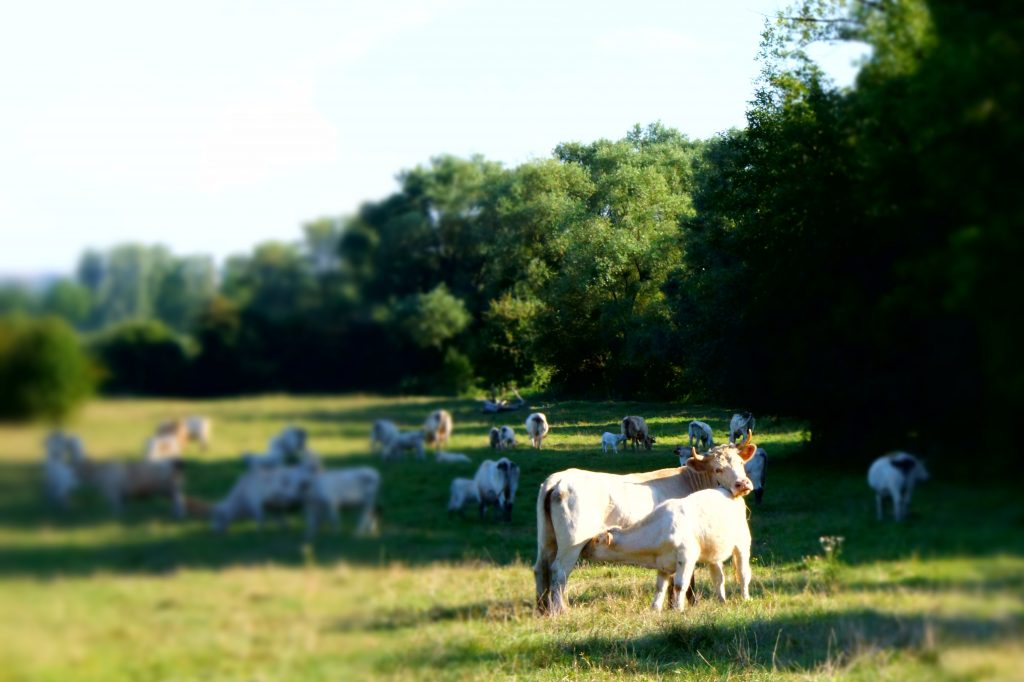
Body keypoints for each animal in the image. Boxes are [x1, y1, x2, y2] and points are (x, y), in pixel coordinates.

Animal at [585, 483, 753, 610]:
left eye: (597, 540)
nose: (584, 548)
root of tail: (726, 490)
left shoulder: (686, 557)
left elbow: (679, 585)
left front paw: (678, 608)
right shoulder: (662, 563)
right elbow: (660, 587)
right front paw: (655, 608)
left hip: (743, 543)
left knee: (743, 573)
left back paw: (745, 598)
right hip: (713, 552)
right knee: (718, 578)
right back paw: (721, 601)